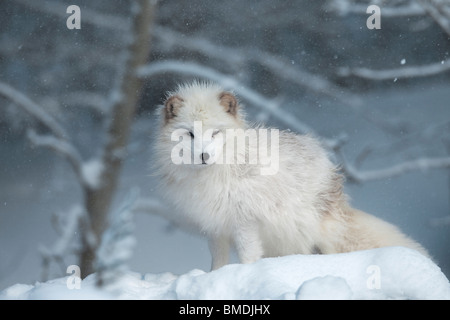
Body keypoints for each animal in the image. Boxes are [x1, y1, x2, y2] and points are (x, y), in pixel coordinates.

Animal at [154, 80, 428, 270]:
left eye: (215, 133)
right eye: (190, 133)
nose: (204, 155)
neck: (215, 174)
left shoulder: (245, 222)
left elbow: (248, 256)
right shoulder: (215, 226)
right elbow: (218, 261)